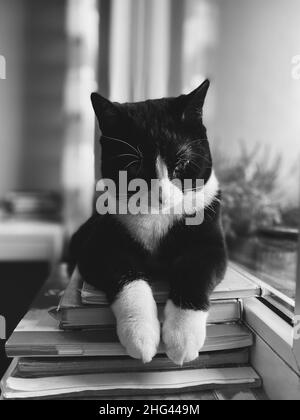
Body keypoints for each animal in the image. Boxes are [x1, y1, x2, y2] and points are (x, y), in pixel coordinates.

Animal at [68, 80, 227, 366]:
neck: (156, 218)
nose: (161, 196)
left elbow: (195, 271)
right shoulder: (97, 248)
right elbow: (127, 276)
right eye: (133, 167)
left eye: (182, 163)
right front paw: (140, 335)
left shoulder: (209, 242)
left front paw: (182, 337)